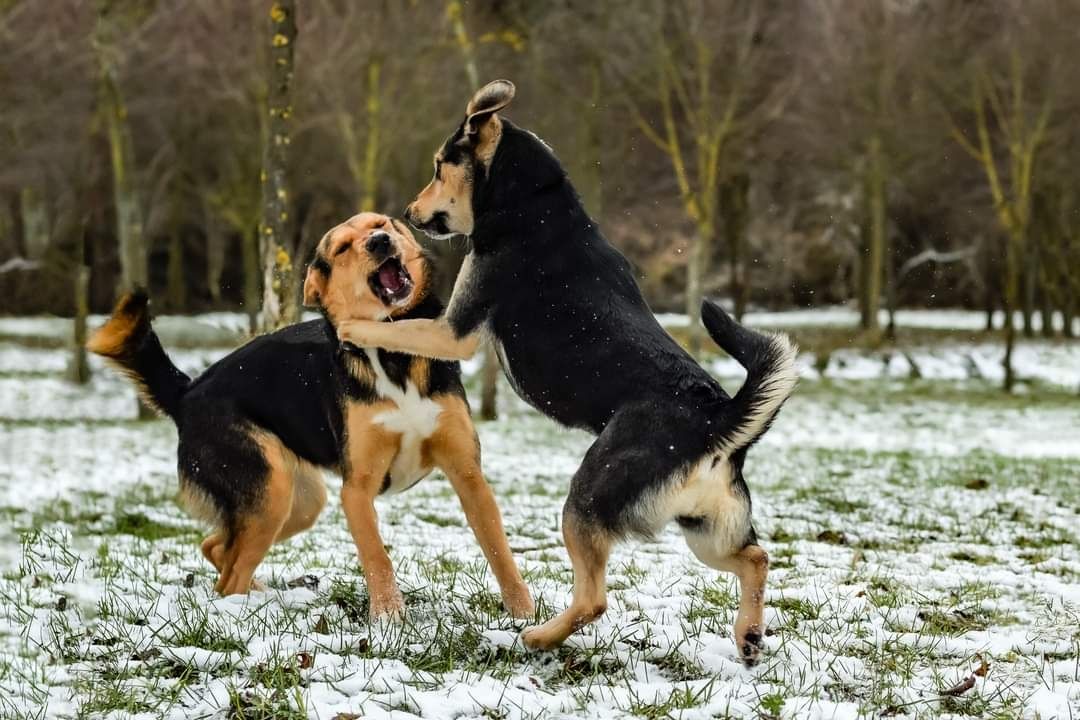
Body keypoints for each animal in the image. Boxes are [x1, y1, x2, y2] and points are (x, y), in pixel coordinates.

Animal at [88, 212, 535, 621]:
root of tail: (187, 392)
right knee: (228, 575)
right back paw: (243, 612)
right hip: (270, 495)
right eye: (341, 247)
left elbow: (499, 549)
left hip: (299, 502)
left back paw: (256, 592)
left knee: (216, 547)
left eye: (383, 223)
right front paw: (389, 622)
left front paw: (523, 615)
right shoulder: (356, 491)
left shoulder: (467, 474)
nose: (379, 242)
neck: (394, 354)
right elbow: (378, 558)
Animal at [339, 80, 803, 664]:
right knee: (756, 557)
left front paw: (349, 325)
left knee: (593, 599)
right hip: (704, 526)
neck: (532, 199)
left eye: (440, 167)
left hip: (586, 500)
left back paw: (535, 636)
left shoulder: (453, 329)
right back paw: (748, 635)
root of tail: (716, 420)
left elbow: (392, 328)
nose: (407, 211)